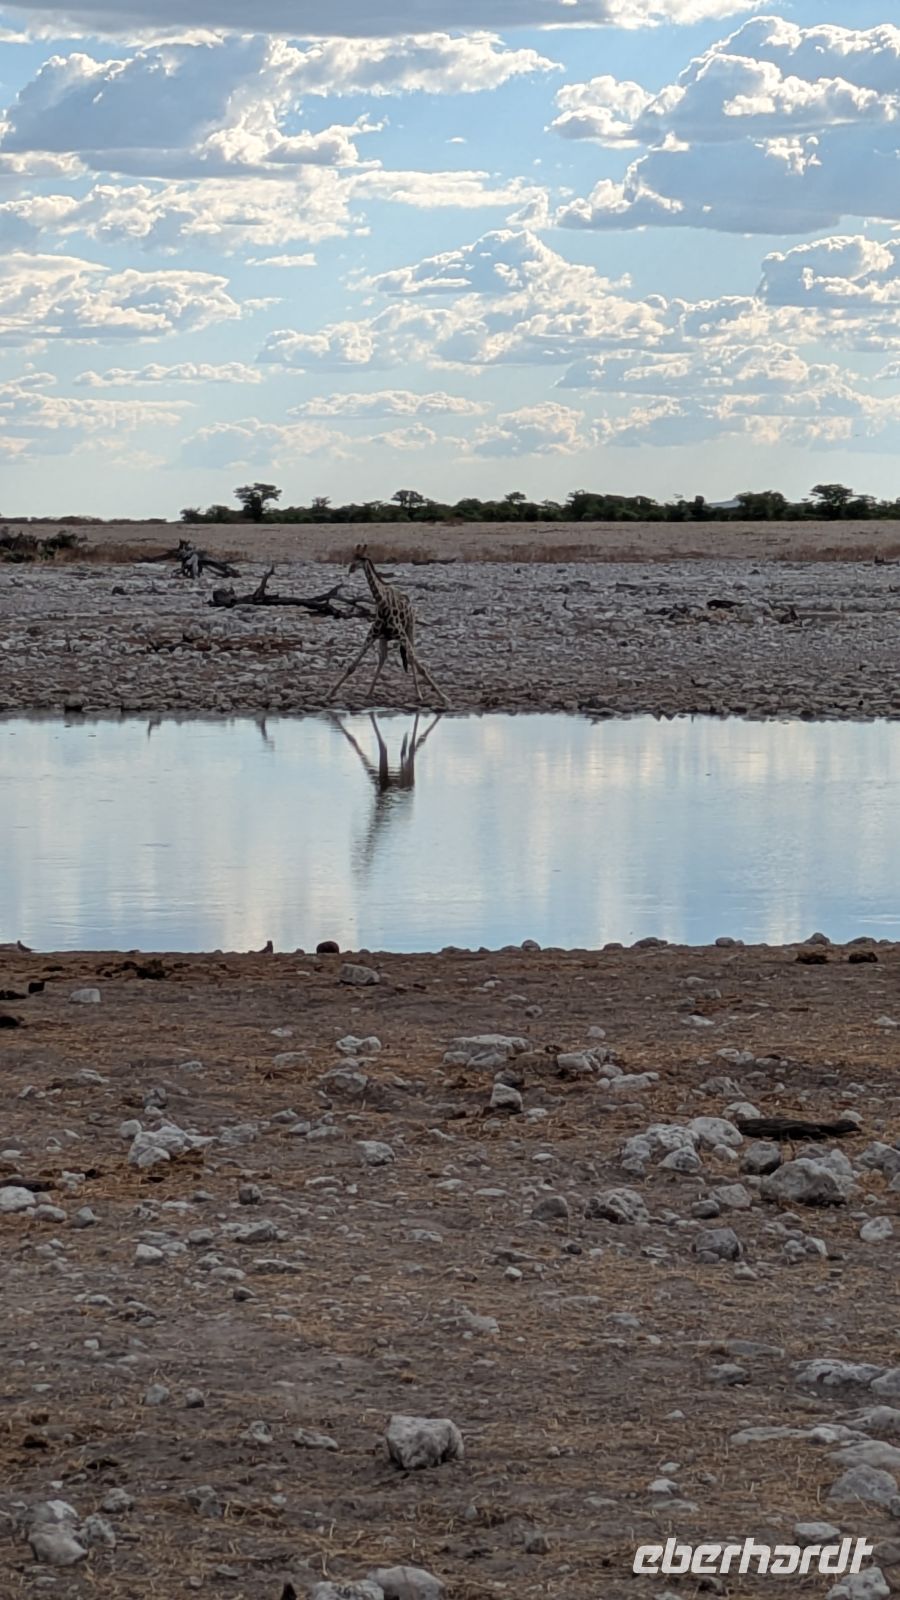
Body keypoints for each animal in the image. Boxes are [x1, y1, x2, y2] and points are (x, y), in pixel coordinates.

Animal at [326, 543, 449, 707]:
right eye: (352, 556)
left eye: (360, 558)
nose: (350, 568)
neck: (382, 604)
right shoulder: (373, 635)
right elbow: (352, 666)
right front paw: (329, 693)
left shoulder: (401, 635)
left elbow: (420, 667)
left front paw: (444, 698)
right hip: (384, 638)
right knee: (383, 658)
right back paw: (369, 692)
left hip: (410, 629)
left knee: (411, 658)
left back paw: (419, 695)